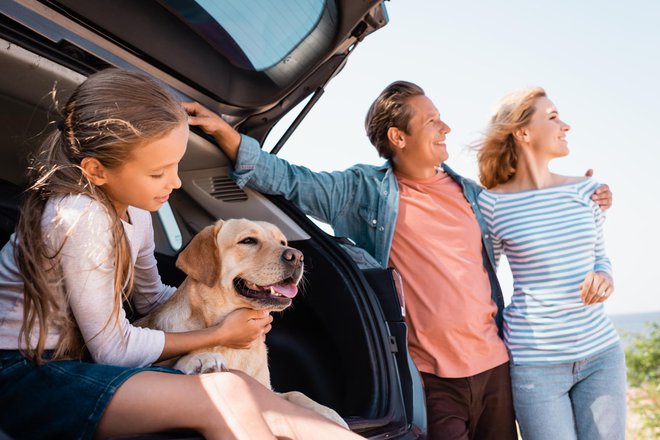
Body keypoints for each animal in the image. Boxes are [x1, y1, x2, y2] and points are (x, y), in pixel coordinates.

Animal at [137, 218, 348, 428]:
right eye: (248, 241)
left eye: (283, 242)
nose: (297, 256)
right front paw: (202, 359)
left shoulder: (267, 390)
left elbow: (296, 393)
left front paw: (332, 416)